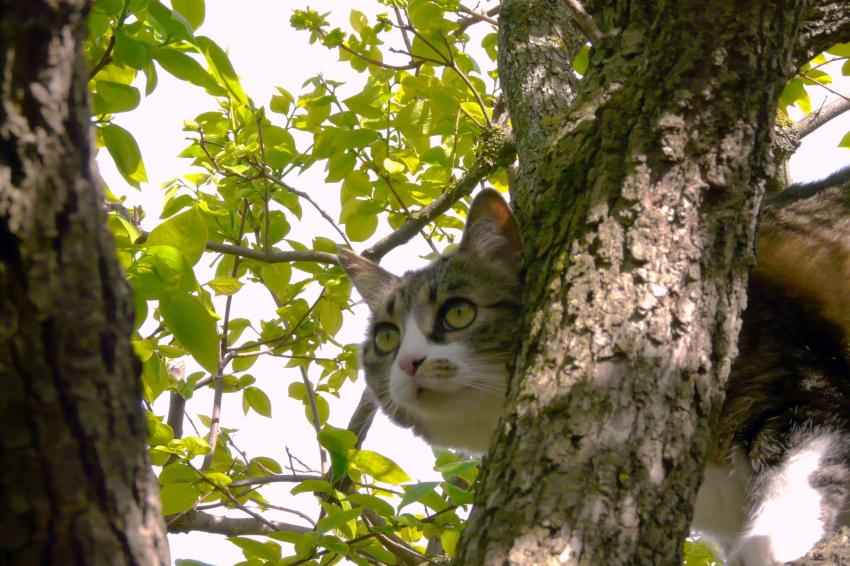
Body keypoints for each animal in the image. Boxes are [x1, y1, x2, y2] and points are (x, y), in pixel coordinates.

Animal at [338, 169, 848, 566]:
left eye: (458, 312)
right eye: (386, 338)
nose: (409, 361)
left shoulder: (805, 385)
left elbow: (802, 467)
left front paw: (769, 544)